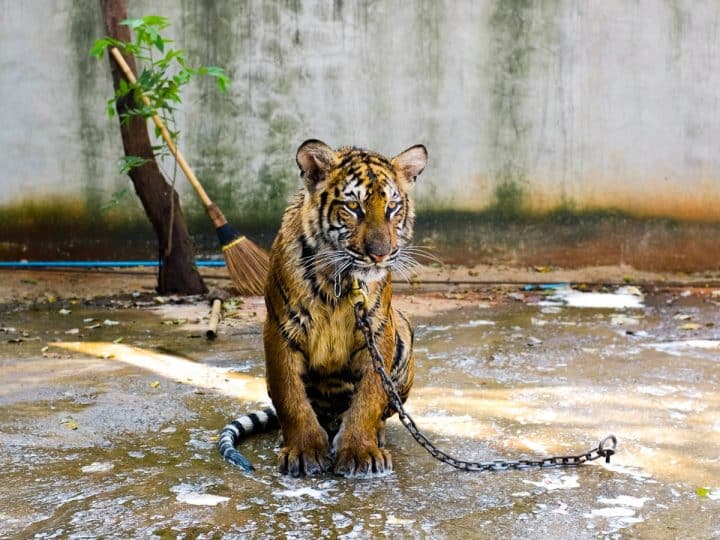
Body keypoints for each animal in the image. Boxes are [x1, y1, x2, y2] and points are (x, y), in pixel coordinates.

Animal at [219, 139, 428, 477]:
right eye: (353, 207)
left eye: (392, 208)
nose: (380, 255)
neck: (337, 281)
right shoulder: (281, 329)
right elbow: (290, 397)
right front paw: (304, 450)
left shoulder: (377, 329)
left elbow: (369, 397)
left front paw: (360, 450)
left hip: (403, 330)